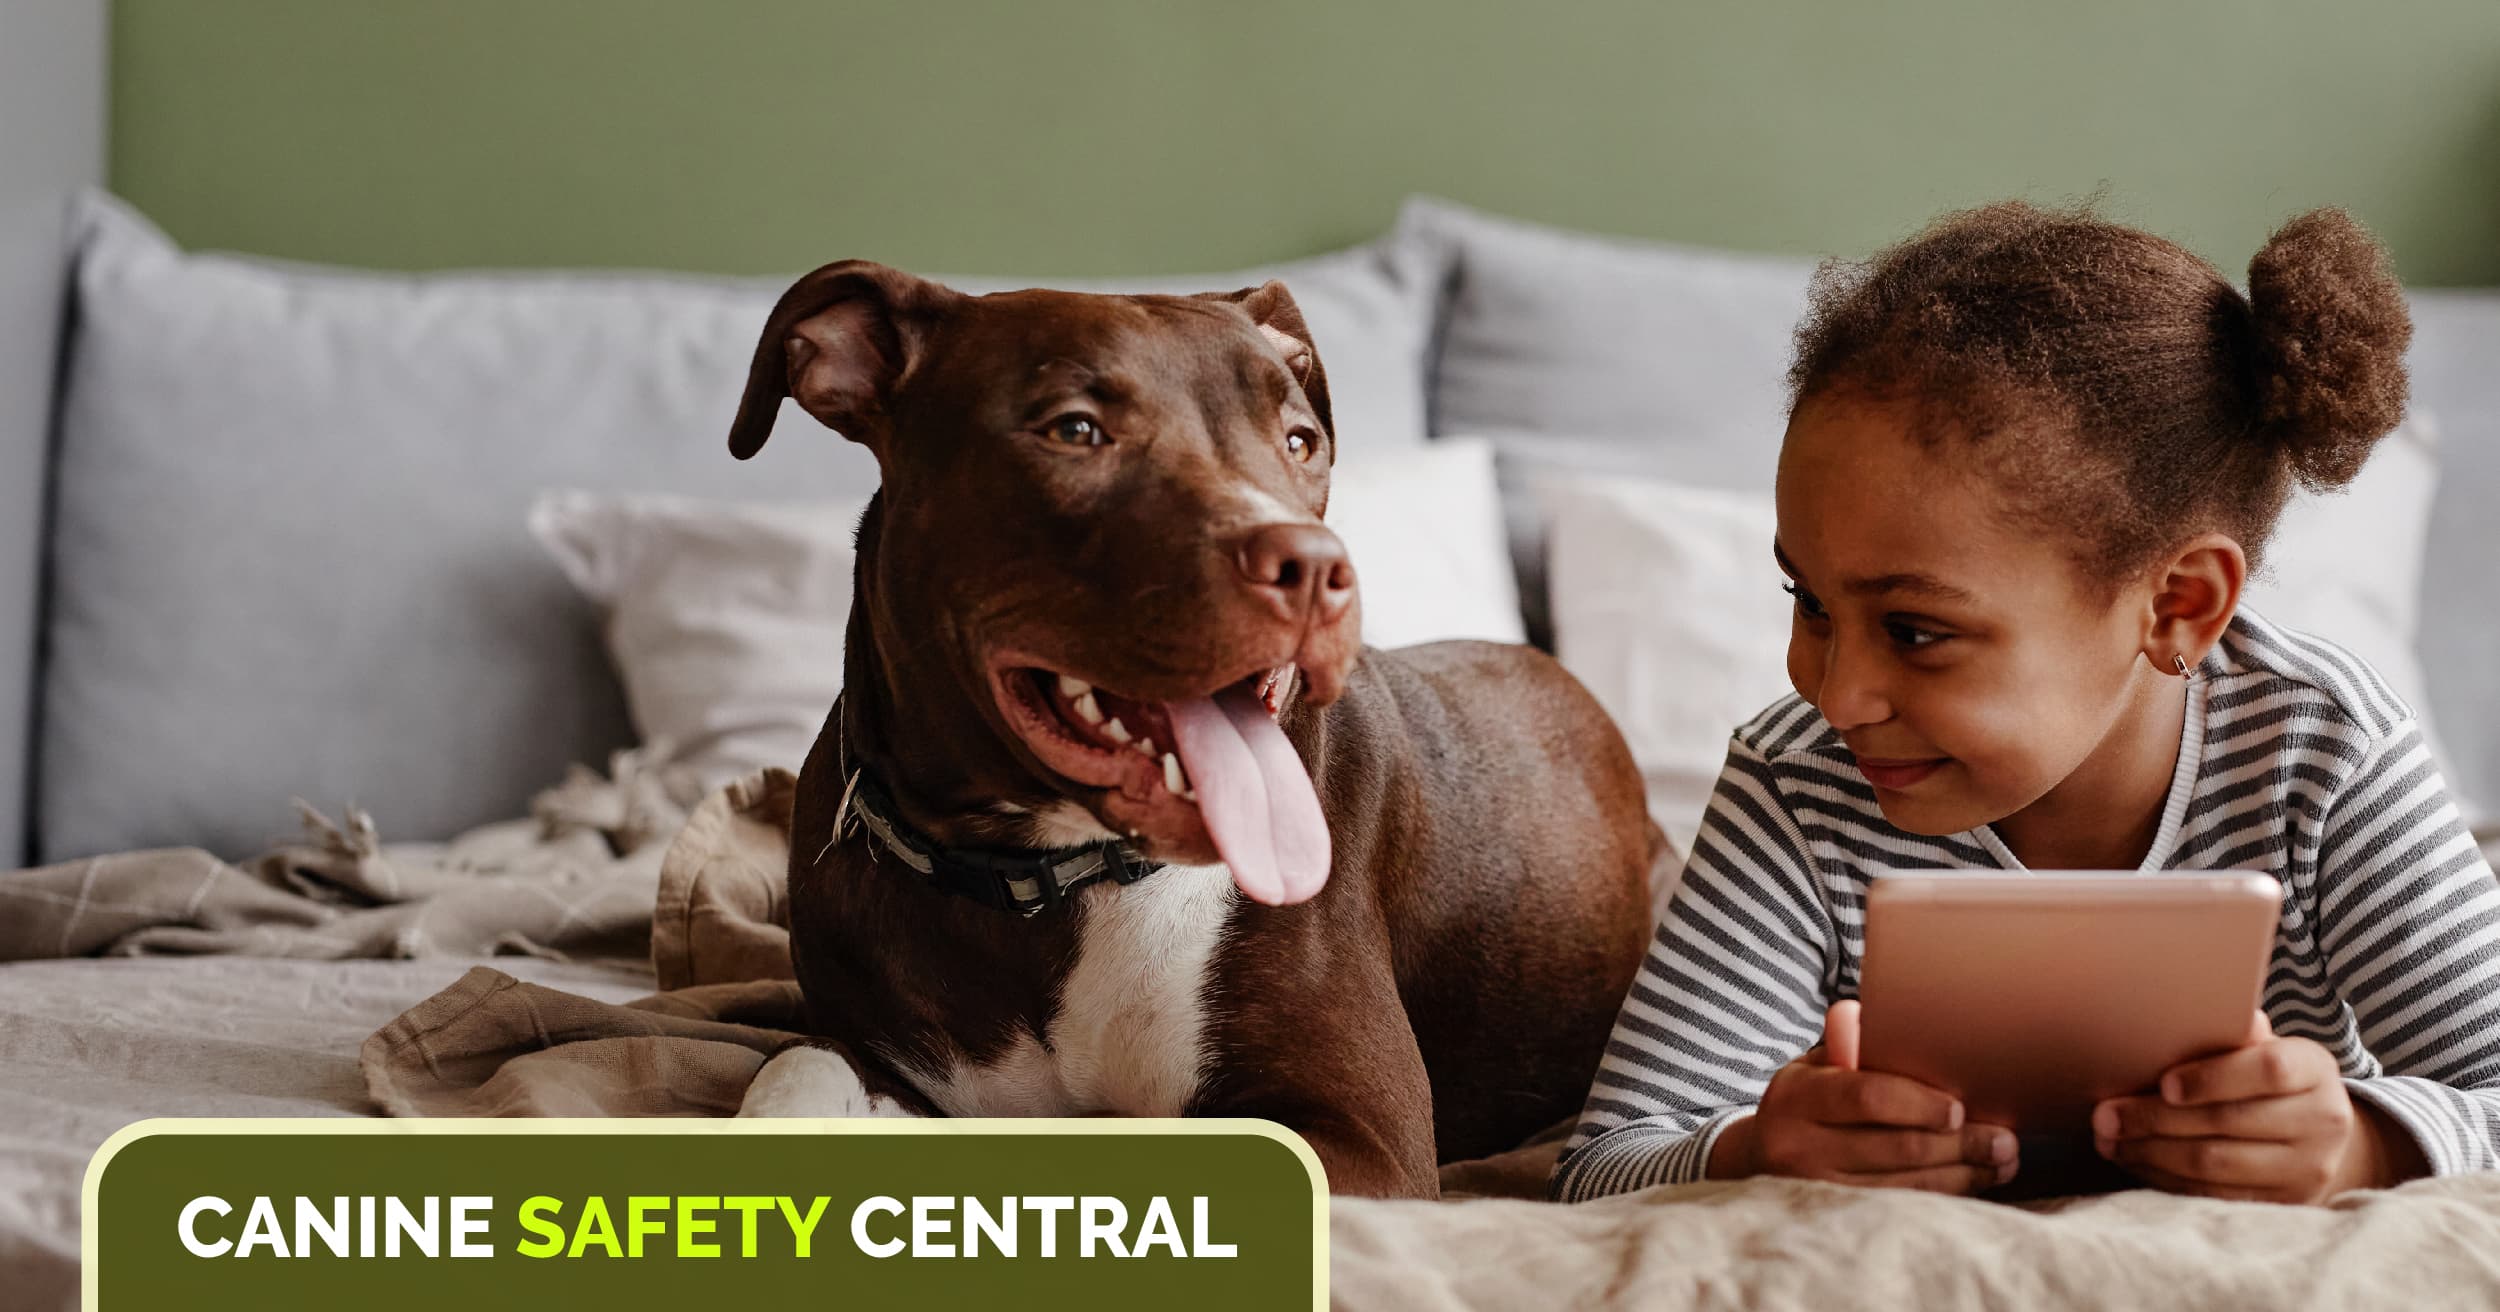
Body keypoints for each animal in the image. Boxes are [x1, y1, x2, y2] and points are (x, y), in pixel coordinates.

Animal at [725, 266, 1660, 1194]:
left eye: (1298, 441)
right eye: (1075, 429)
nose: (1315, 567)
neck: (1039, 881)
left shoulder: (1368, 1142)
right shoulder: (871, 1050)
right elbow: (794, 1066)